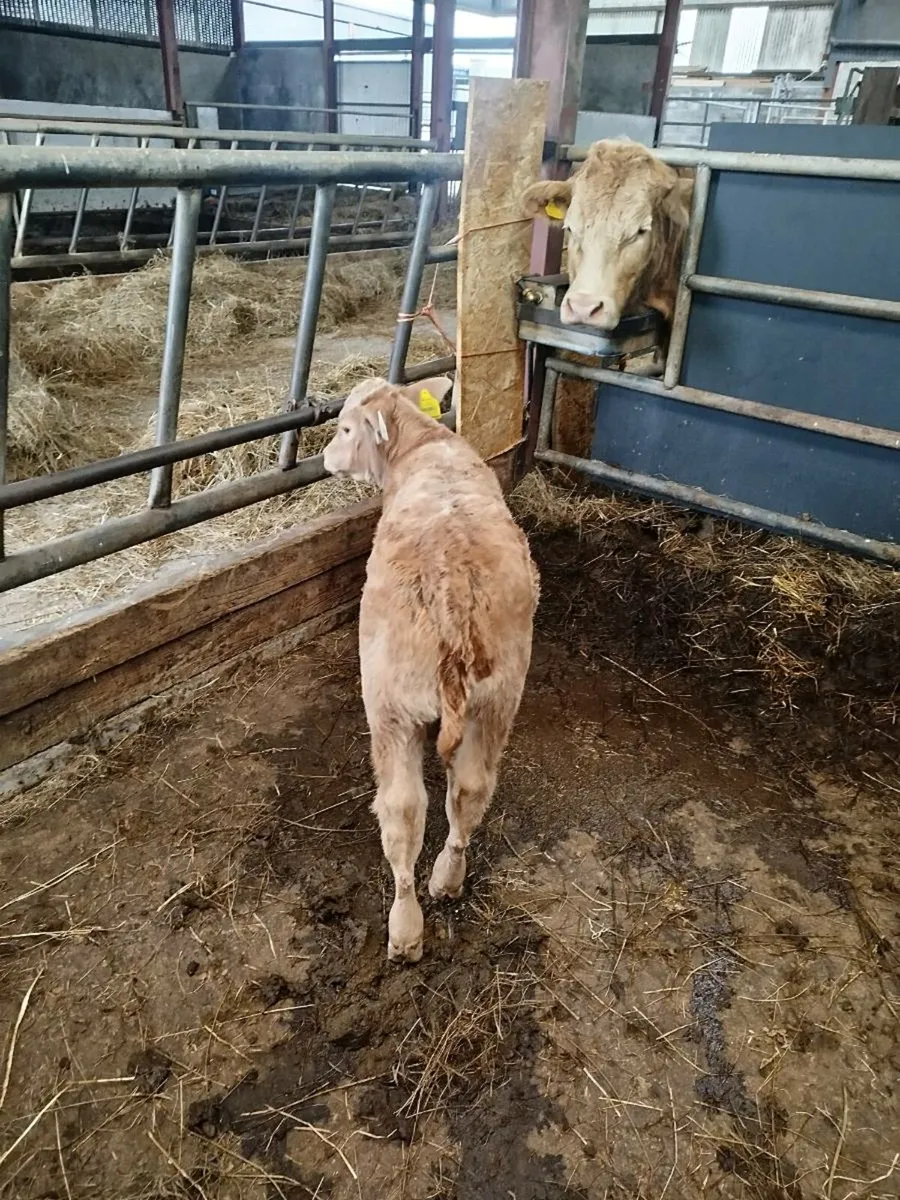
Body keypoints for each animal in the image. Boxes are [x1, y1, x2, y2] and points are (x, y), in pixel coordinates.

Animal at [322, 376, 539, 963]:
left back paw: (405, 927)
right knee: (469, 791)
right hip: (498, 701)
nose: (325, 458)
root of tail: (452, 592)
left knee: (402, 813)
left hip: (390, 709)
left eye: (345, 429)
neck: (421, 444)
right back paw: (448, 878)